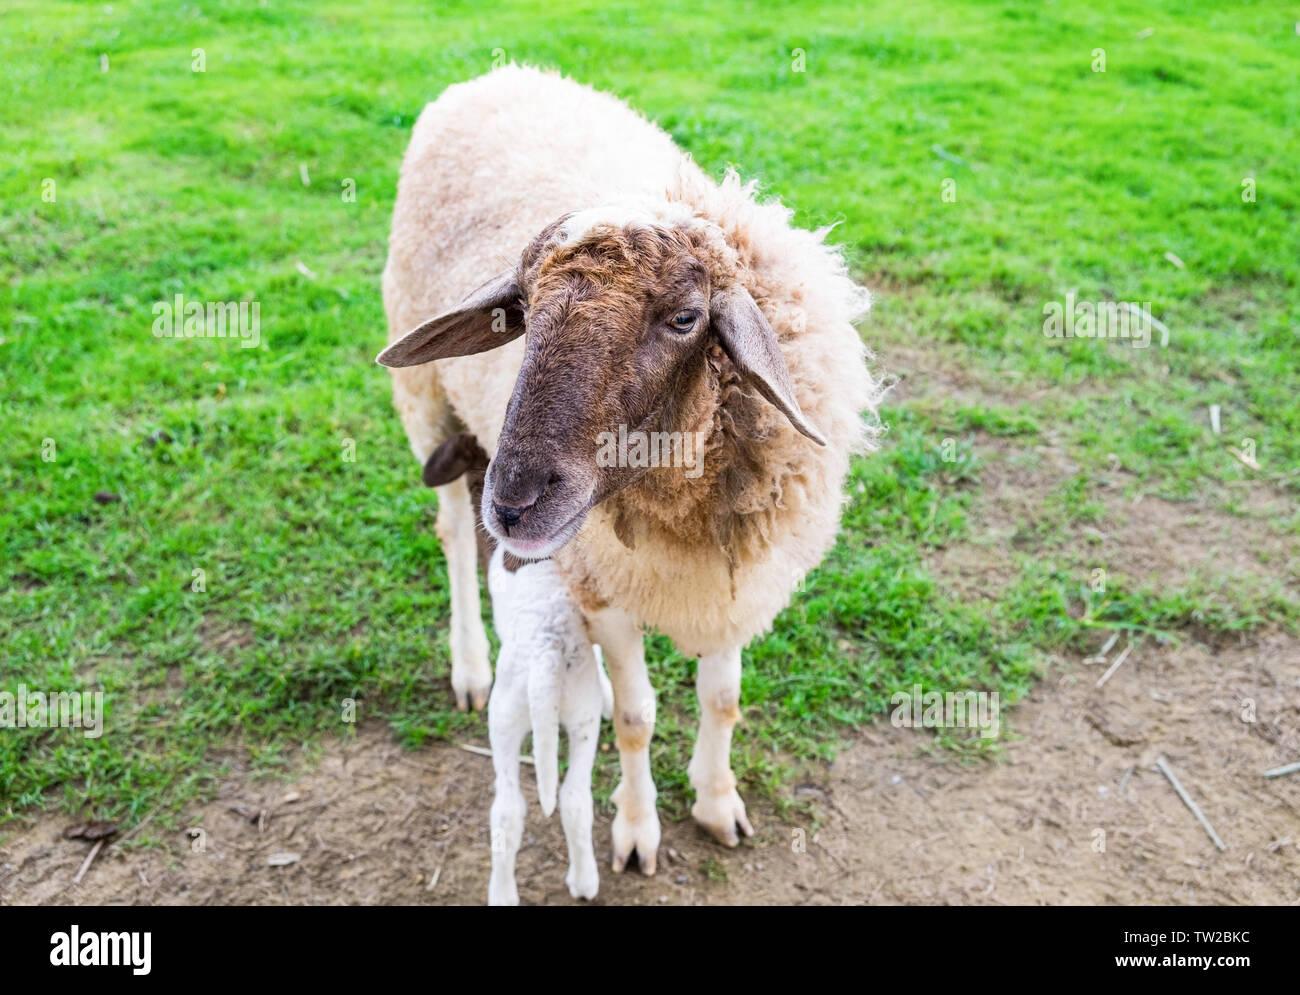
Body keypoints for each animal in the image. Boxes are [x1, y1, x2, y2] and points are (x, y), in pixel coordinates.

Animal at [379, 62, 883, 874]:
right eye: (522, 311)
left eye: (685, 319)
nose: (514, 502)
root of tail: (499, 71)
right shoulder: (608, 583)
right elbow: (641, 719)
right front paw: (637, 828)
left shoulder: (732, 576)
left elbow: (721, 698)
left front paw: (716, 803)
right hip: (429, 402)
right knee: (453, 531)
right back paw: (471, 666)